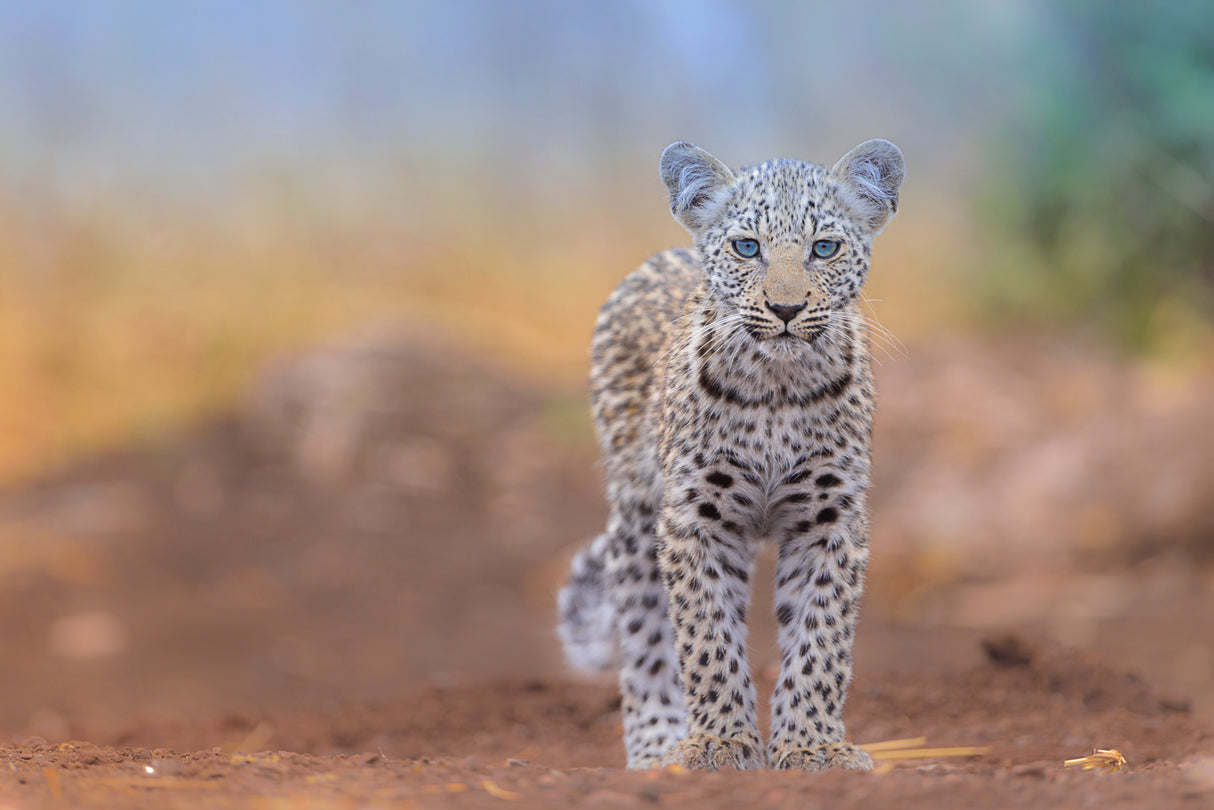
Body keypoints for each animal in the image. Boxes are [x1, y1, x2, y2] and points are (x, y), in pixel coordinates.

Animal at [557, 139, 905, 771]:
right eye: (747, 247)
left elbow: (821, 637)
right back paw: (657, 746)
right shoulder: (697, 514)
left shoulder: (830, 517)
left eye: (825, 248)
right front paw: (720, 743)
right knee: (644, 627)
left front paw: (812, 746)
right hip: (637, 510)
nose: (786, 309)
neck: (776, 386)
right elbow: (705, 635)